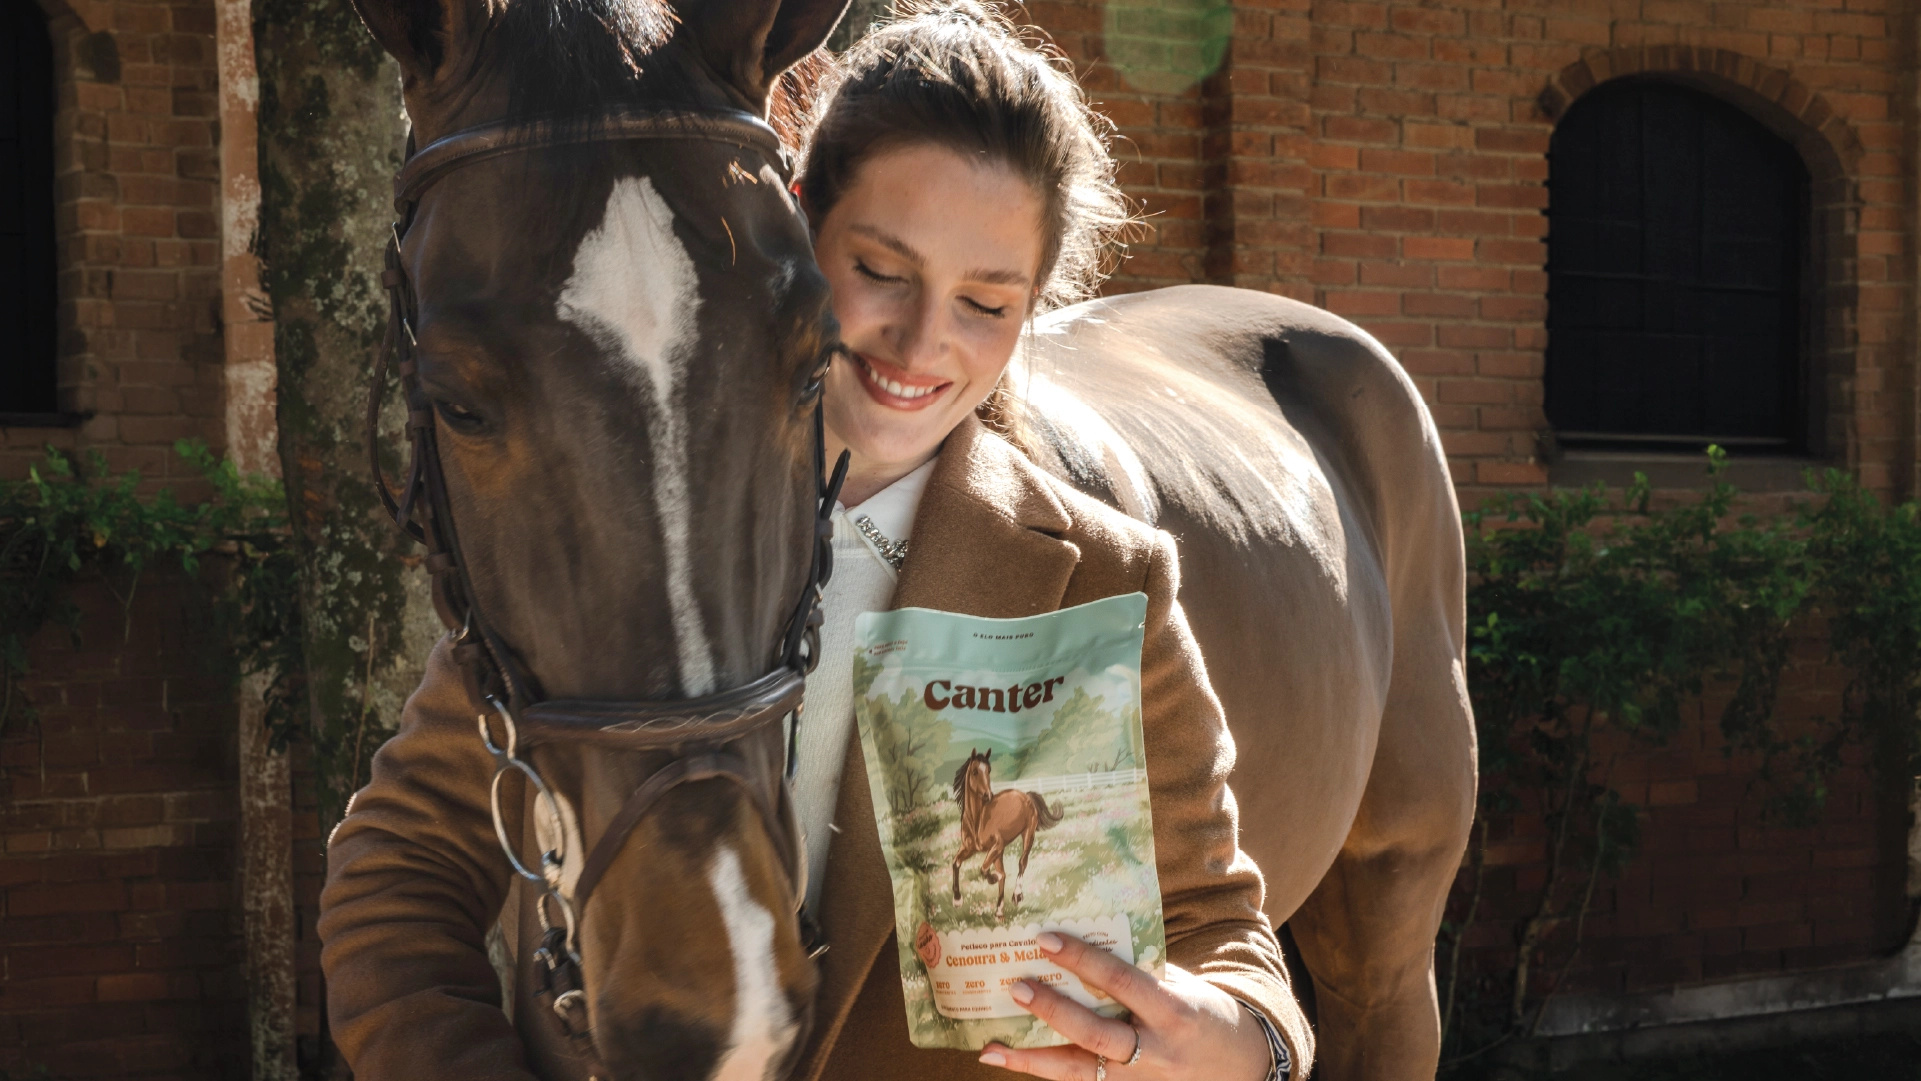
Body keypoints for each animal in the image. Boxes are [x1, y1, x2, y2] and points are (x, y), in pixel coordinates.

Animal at [949, 749, 1064, 919]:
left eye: (989, 770)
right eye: (975, 771)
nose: (987, 795)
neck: (979, 820)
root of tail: (1025, 795)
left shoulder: (997, 846)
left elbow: (985, 869)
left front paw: (993, 878)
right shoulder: (969, 848)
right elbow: (956, 863)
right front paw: (957, 900)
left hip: (1028, 834)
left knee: (1022, 862)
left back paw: (1016, 896)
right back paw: (999, 910)